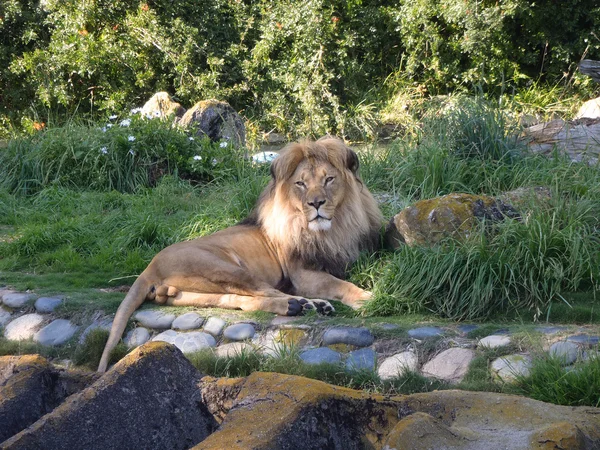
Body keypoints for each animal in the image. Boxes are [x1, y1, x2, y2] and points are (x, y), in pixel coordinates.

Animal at [97, 138, 380, 372]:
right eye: (300, 184)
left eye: (328, 179)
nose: (316, 203)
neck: (332, 228)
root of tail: (150, 267)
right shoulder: (301, 274)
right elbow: (338, 283)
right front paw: (366, 298)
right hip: (225, 267)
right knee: (268, 291)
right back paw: (308, 305)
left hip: (194, 292)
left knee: (238, 299)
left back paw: (298, 306)